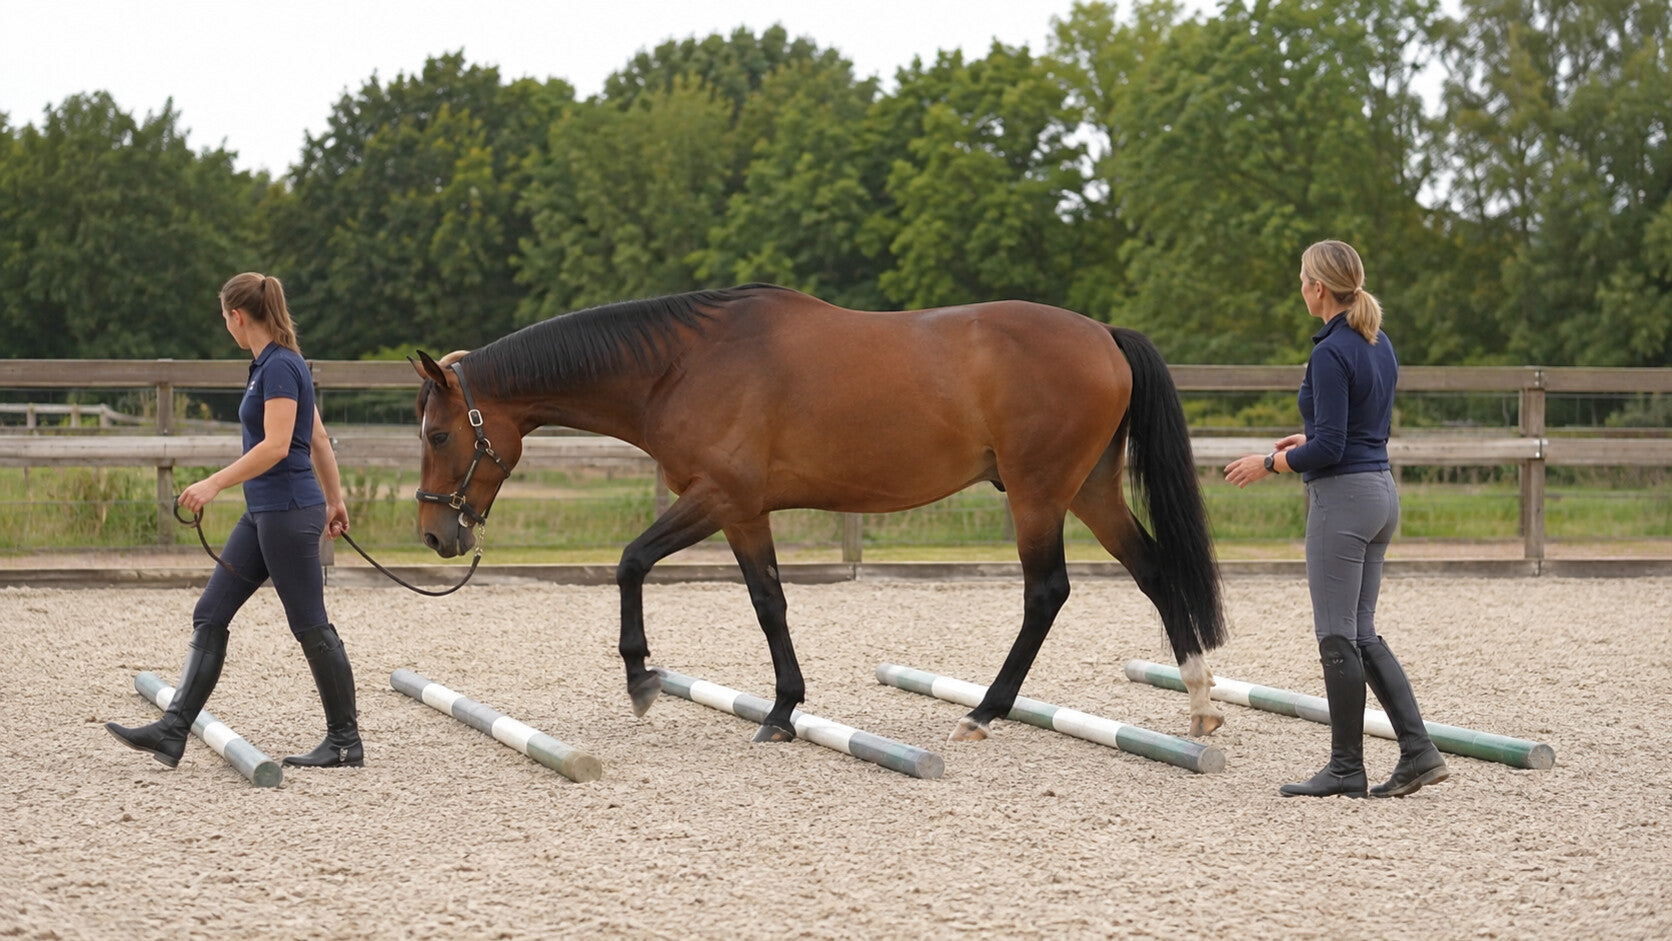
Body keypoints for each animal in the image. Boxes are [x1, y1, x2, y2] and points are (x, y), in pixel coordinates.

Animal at [410, 283, 1228, 742]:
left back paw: (985, 711)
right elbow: (768, 602)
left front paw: (642, 677)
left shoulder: (718, 497)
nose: (434, 531)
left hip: (1038, 494)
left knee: (1046, 592)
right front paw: (782, 710)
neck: (682, 364)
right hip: (1089, 490)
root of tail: (1104, 335)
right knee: (1155, 572)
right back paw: (1197, 703)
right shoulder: (745, 513)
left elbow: (633, 561)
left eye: (439, 434)